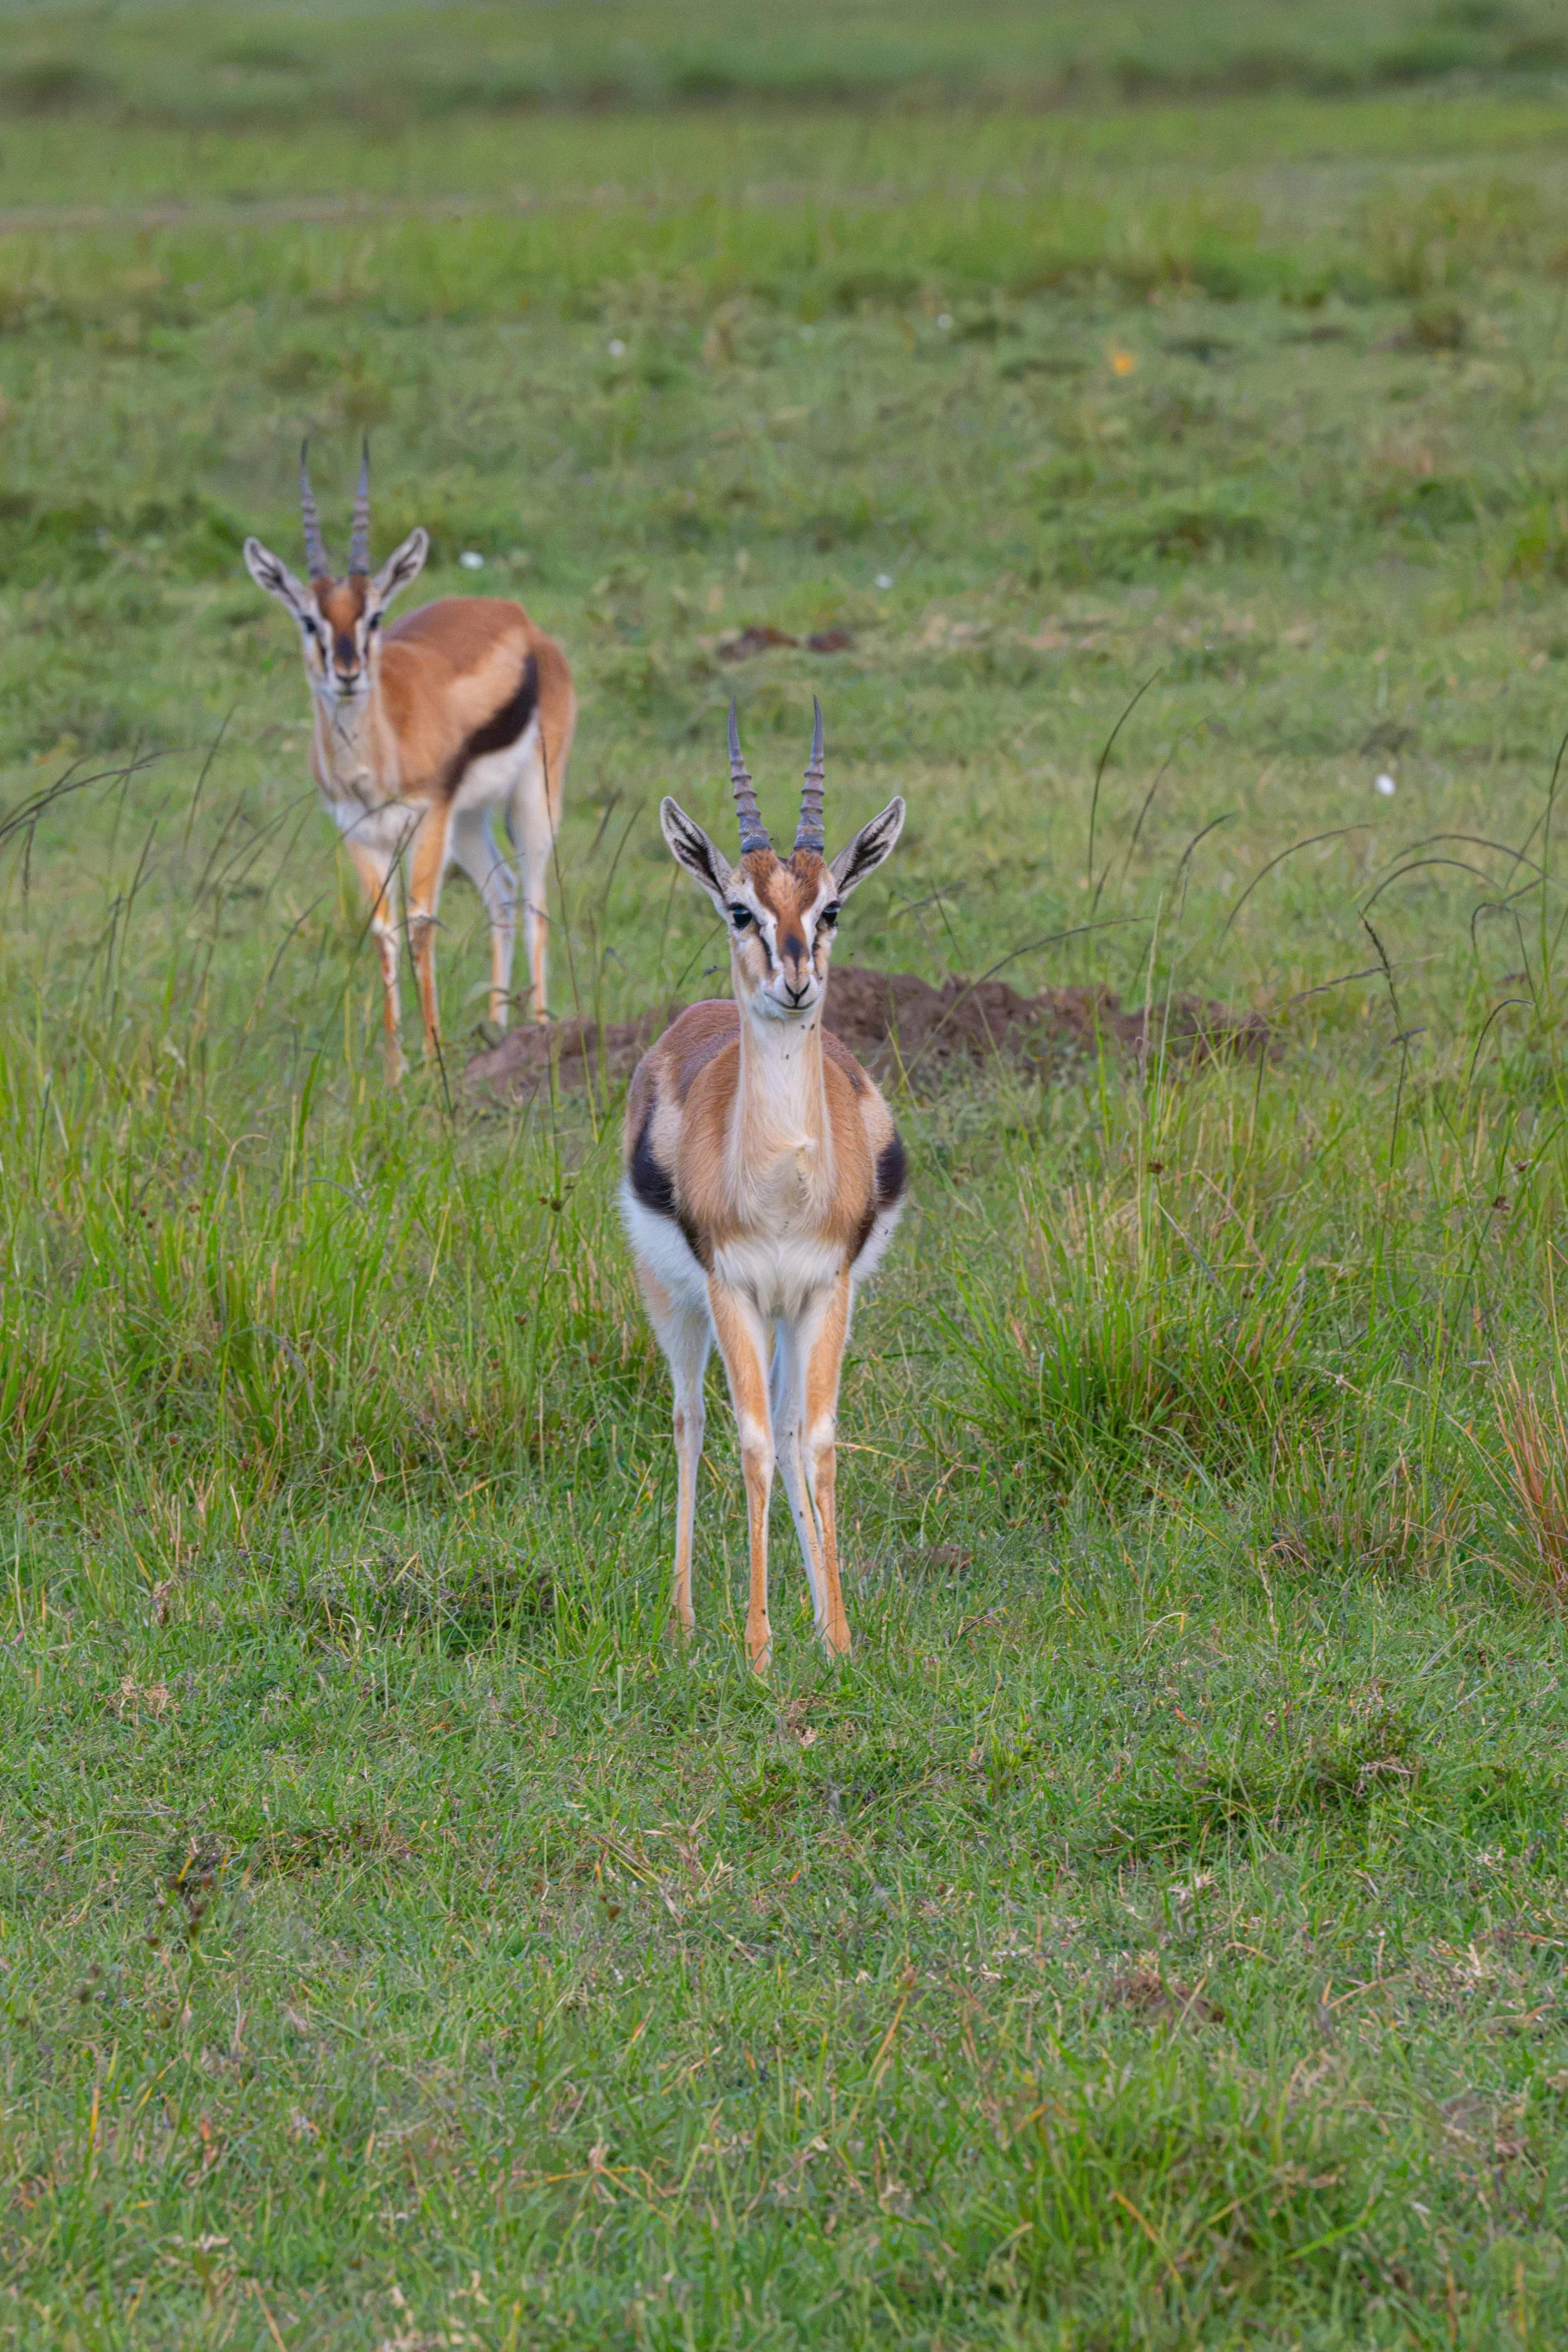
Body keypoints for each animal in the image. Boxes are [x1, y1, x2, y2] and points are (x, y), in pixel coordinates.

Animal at [243, 446, 576, 1079]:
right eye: (309, 620)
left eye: (374, 615)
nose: (347, 673)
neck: (377, 758)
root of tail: (519, 618)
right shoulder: (359, 833)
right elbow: (383, 934)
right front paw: (396, 1070)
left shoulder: (426, 817)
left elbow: (421, 924)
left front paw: (432, 1055)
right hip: (467, 821)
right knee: (501, 892)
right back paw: (498, 1029)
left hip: (529, 798)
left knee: (535, 902)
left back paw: (543, 1030)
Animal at [622, 700, 908, 1670]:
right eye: (739, 906)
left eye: (832, 907)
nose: (795, 980)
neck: (782, 1184)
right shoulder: (733, 1288)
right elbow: (743, 1440)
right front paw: (755, 1648)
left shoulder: (824, 1287)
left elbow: (811, 1441)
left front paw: (839, 1636)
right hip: (673, 1300)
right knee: (690, 1419)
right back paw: (681, 1618)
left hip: (792, 1311)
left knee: (786, 1429)